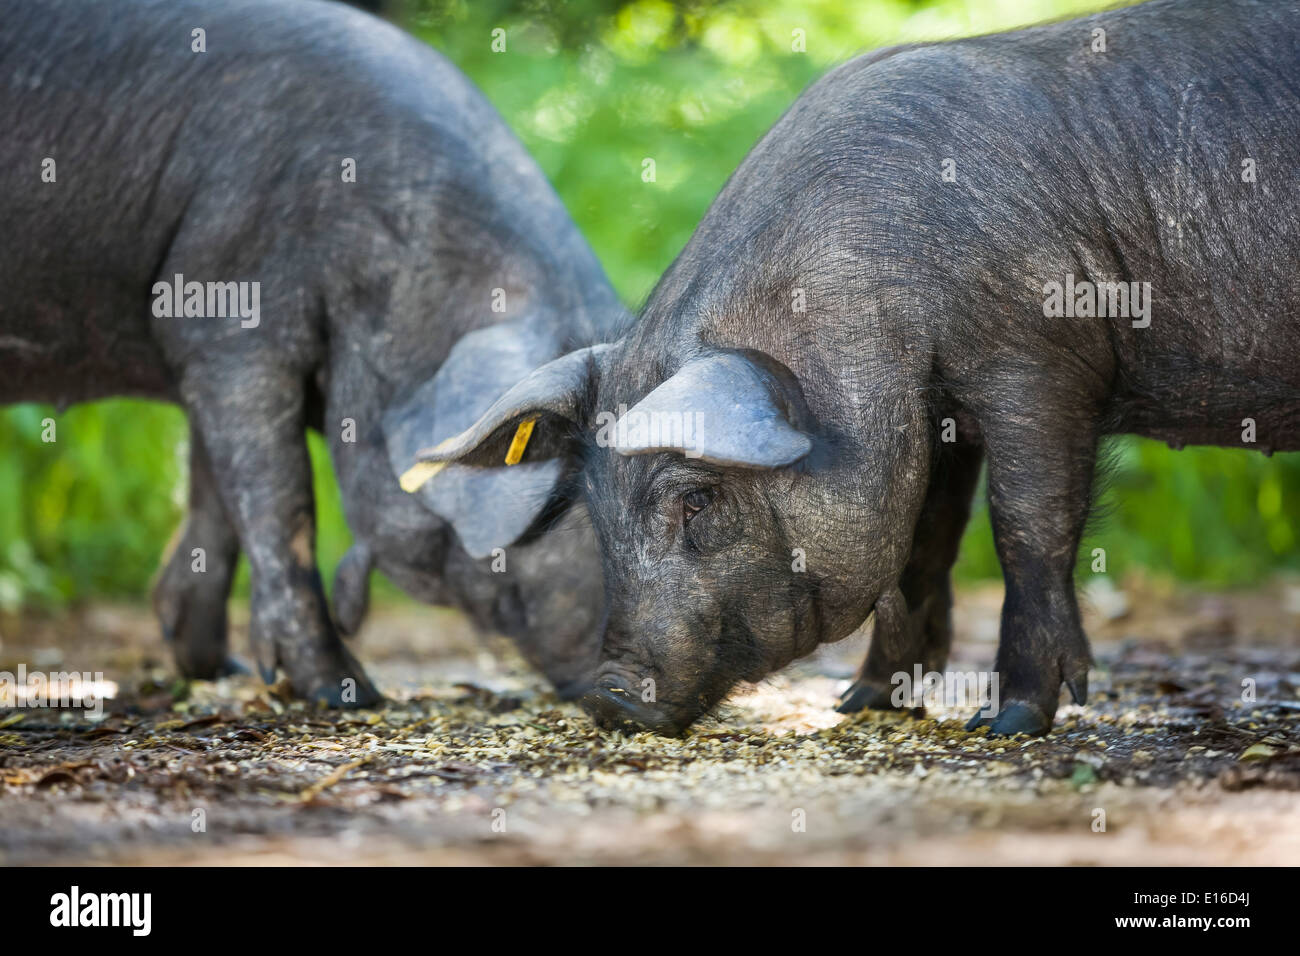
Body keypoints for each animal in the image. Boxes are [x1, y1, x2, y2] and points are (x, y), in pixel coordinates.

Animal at [413, 0, 1300, 733]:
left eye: (697, 498)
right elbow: (923, 545)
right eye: (594, 514)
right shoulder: (934, 411)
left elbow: (1025, 528)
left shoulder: (1038, 364)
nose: (607, 696)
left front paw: (1007, 723)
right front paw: (862, 703)